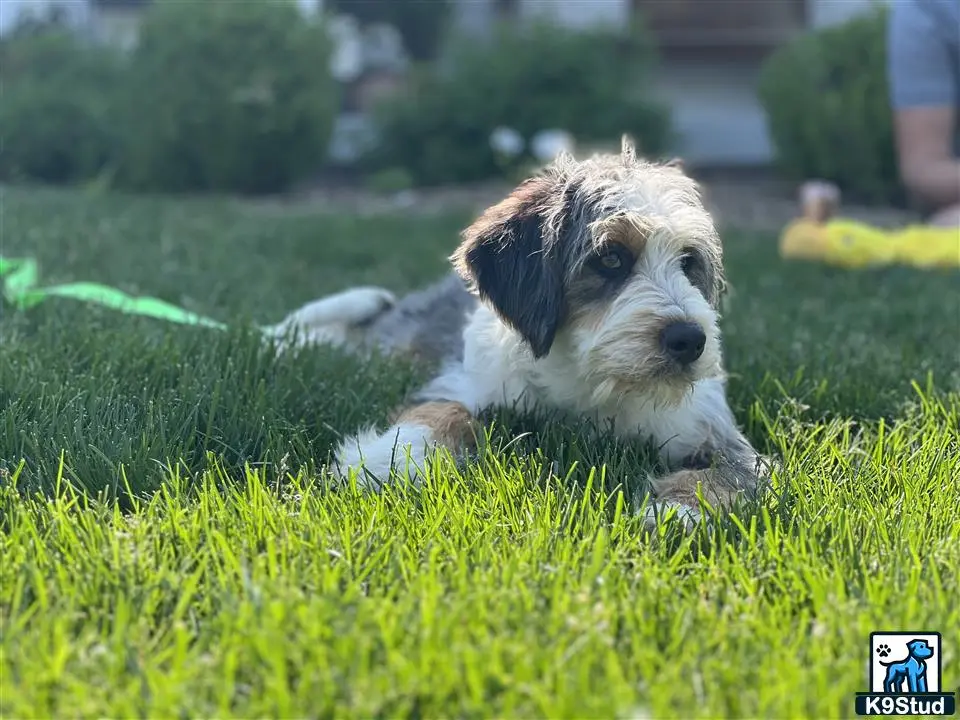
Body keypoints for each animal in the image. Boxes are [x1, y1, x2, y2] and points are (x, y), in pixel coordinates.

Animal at [274, 136, 768, 528]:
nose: (690, 340)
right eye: (610, 258)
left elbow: (734, 472)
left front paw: (678, 509)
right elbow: (445, 411)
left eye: (688, 262)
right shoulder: (464, 382)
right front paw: (389, 457)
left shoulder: (728, 441)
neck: (587, 384)